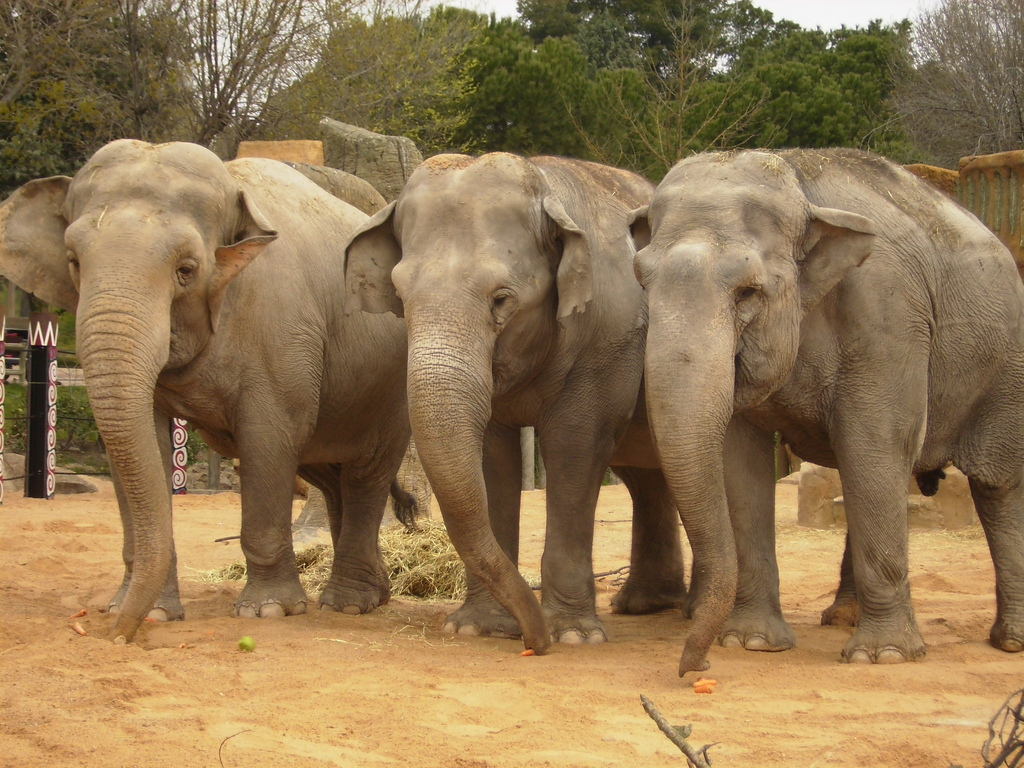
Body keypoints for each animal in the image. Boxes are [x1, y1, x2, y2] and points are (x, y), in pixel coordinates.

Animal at [1, 140, 415, 643]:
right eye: (74, 262)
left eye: (186, 269)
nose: (118, 635)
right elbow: (146, 443)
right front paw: (152, 612)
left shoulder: (281, 333)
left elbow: (269, 439)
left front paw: (269, 611)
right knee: (329, 475)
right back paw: (371, 595)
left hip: (391, 392)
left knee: (364, 474)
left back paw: (348, 605)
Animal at [344, 153, 696, 659]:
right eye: (401, 299)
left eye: (501, 299)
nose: (536, 643)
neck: (545, 183)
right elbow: (494, 458)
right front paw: (478, 629)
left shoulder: (606, 342)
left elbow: (575, 447)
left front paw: (573, 634)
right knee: (646, 477)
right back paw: (645, 605)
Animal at [630, 145, 1024, 671]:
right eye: (643, 282)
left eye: (748, 292)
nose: (697, 666)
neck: (798, 183)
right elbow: (740, 462)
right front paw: (751, 643)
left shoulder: (888, 315)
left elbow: (876, 443)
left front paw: (884, 657)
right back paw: (842, 618)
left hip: (1006, 366)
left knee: (996, 484)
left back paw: (1009, 642)